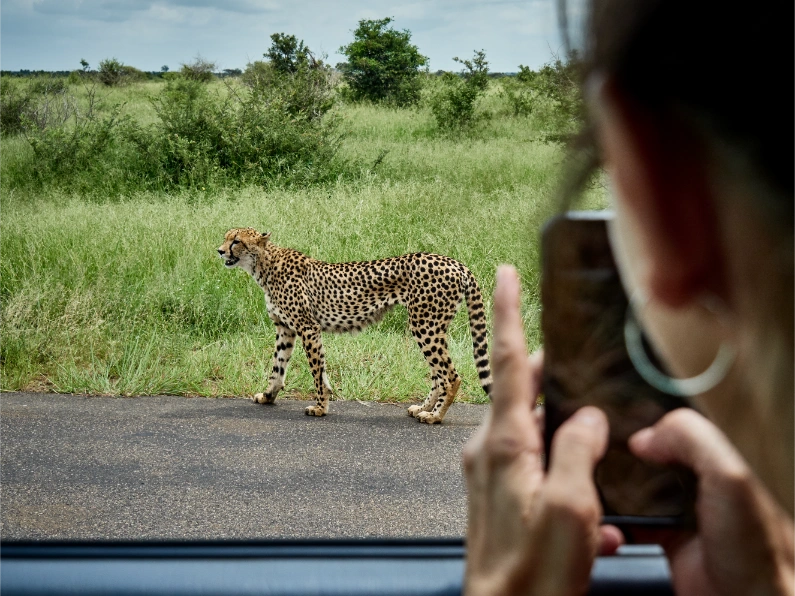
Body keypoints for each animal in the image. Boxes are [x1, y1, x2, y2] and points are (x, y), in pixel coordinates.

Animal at [217, 228, 492, 424]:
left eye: (236, 241)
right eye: (225, 238)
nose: (219, 251)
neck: (264, 265)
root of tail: (455, 262)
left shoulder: (308, 327)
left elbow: (317, 370)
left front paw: (320, 407)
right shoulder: (285, 328)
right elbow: (278, 367)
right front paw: (268, 396)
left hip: (425, 325)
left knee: (451, 376)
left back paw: (434, 416)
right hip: (430, 326)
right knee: (438, 374)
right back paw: (423, 408)